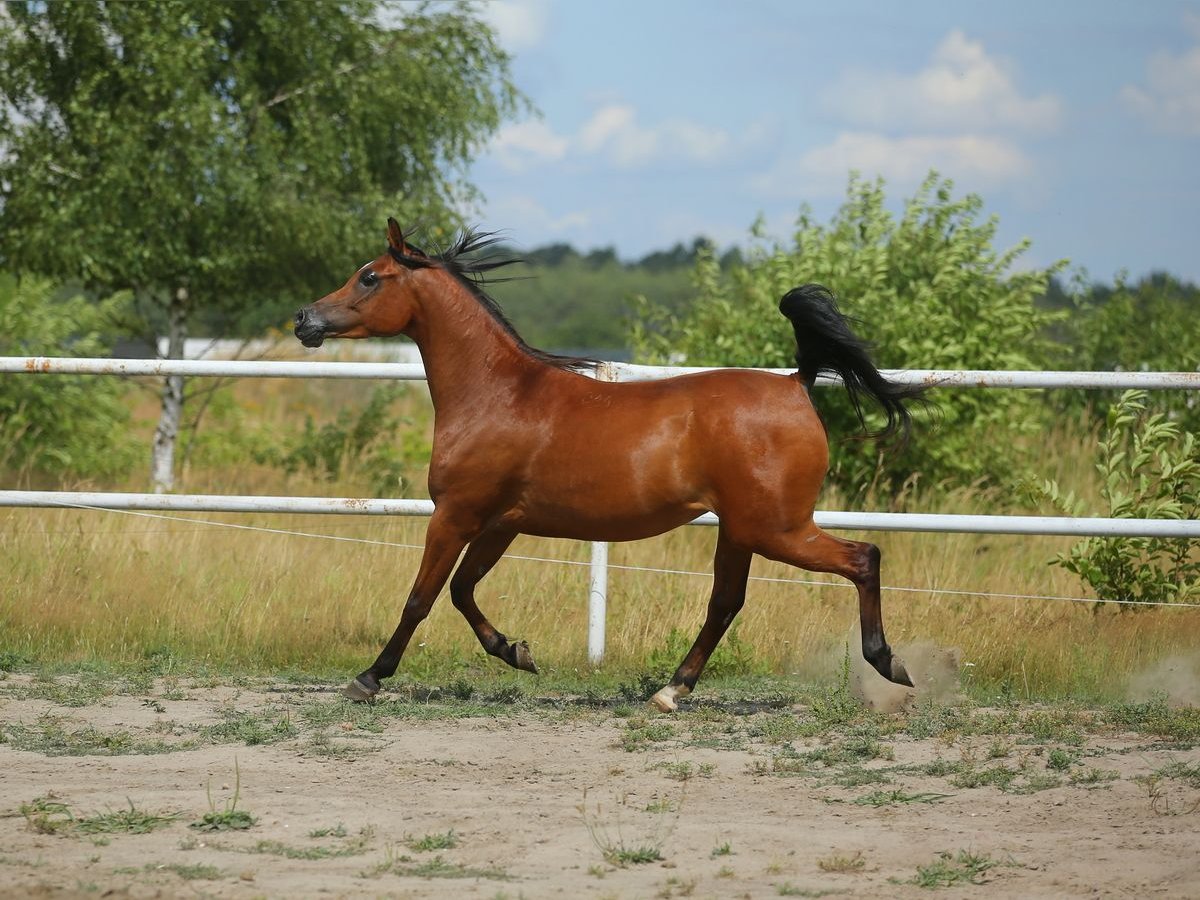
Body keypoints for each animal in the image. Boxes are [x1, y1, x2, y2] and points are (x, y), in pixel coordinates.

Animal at [292, 218, 926, 710]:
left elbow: (421, 597)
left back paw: (888, 664)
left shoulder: (455, 514)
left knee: (862, 558)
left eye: (370, 276)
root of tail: (797, 383)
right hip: (742, 530)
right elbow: (462, 592)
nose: (304, 320)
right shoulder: (500, 523)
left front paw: (369, 678)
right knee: (725, 604)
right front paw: (517, 652)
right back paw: (671, 690)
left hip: (776, 528)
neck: (497, 394)